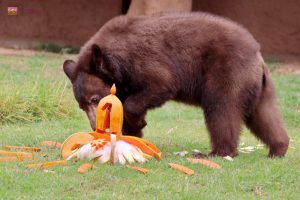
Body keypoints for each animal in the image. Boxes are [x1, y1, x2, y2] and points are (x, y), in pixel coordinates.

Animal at [63, 11, 290, 158]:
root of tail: (258, 56)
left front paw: (137, 122)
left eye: (95, 99)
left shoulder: (143, 62)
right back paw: (278, 148)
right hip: (257, 86)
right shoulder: (124, 84)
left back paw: (216, 152)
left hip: (228, 71)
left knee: (221, 109)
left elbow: (159, 84)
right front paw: (132, 135)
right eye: (81, 105)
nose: (95, 125)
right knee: (263, 115)